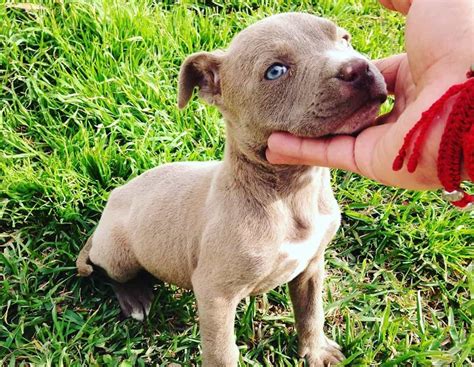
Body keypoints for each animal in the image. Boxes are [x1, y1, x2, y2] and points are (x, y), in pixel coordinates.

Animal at [77, 12, 386, 367]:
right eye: (275, 71)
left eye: (345, 39)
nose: (359, 67)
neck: (291, 192)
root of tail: (111, 202)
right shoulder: (216, 295)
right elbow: (222, 351)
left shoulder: (311, 265)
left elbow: (311, 311)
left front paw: (316, 350)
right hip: (119, 252)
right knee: (111, 272)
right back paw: (135, 298)